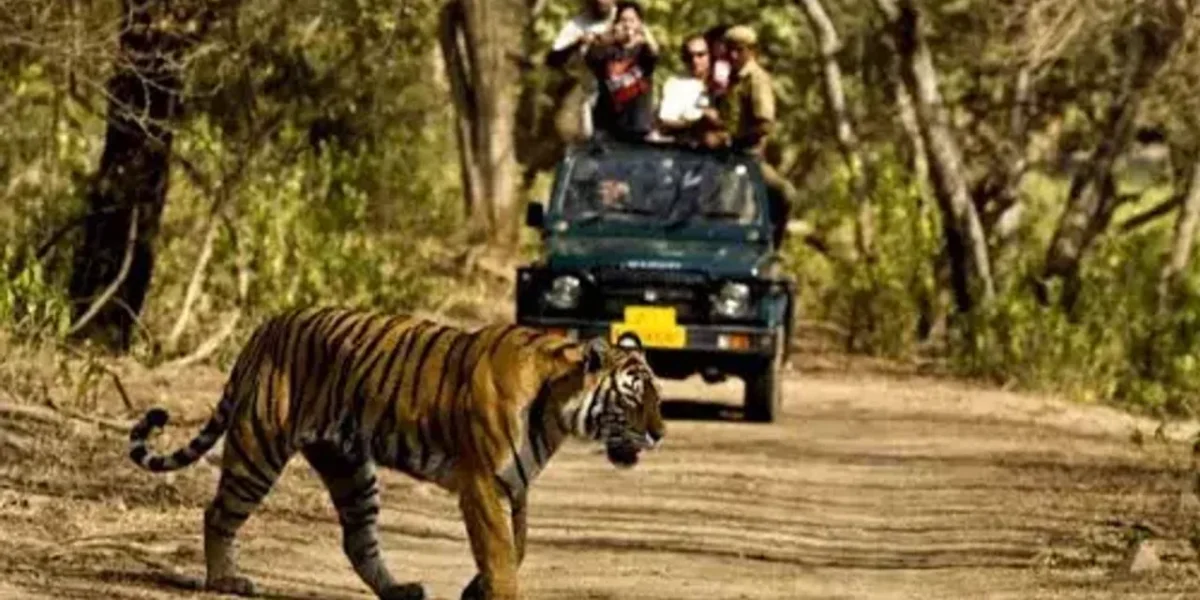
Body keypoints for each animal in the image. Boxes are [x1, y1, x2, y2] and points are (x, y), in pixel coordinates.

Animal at [126, 306, 665, 600]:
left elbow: (519, 546)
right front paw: (498, 592)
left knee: (357, 540)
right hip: (260, 448)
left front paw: (475, 588)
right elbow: (499, 550)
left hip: (350, 468)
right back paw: (226, 579)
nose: (660, 434)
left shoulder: (517, 485)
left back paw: (398, 589)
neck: (557, 409)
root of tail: (266, 326)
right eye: (634, 397)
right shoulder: (483, 482)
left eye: (658, 397)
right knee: (218, 513)